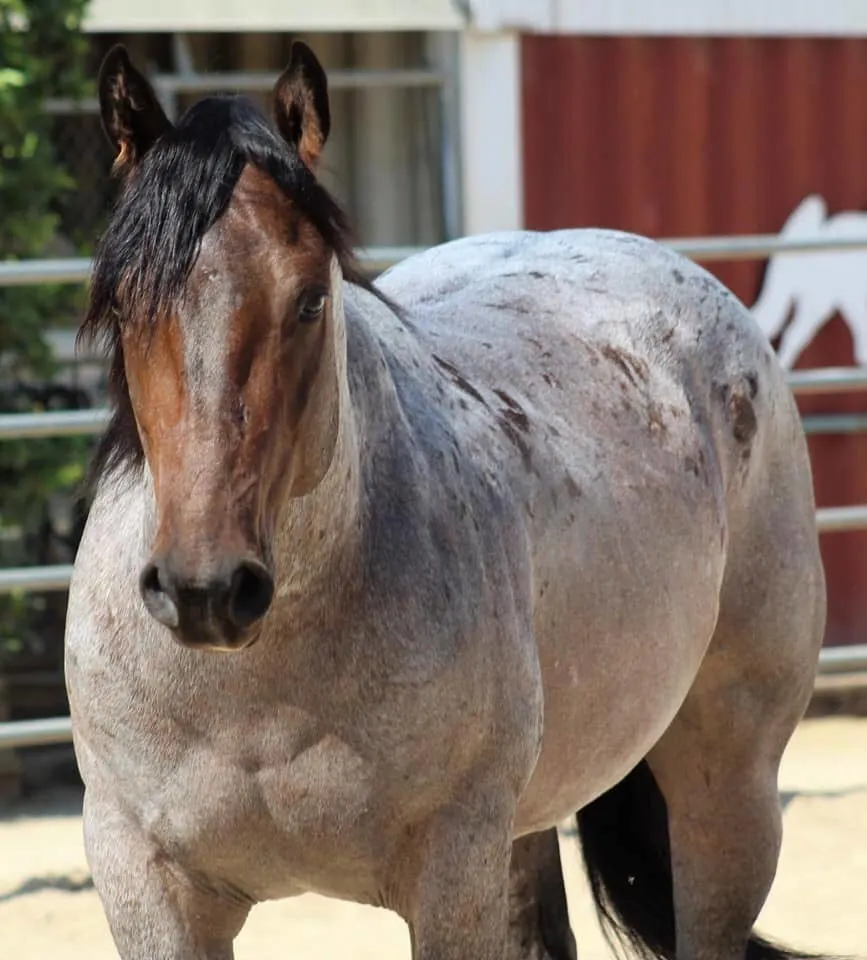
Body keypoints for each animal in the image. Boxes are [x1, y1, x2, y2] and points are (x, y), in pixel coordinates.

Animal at [66, 43, 828, 960]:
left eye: (311, 299)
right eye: (122, 302)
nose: (205, 589)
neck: (256, 689)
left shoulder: (451, 873)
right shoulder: (146, 885)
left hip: (727, 793)